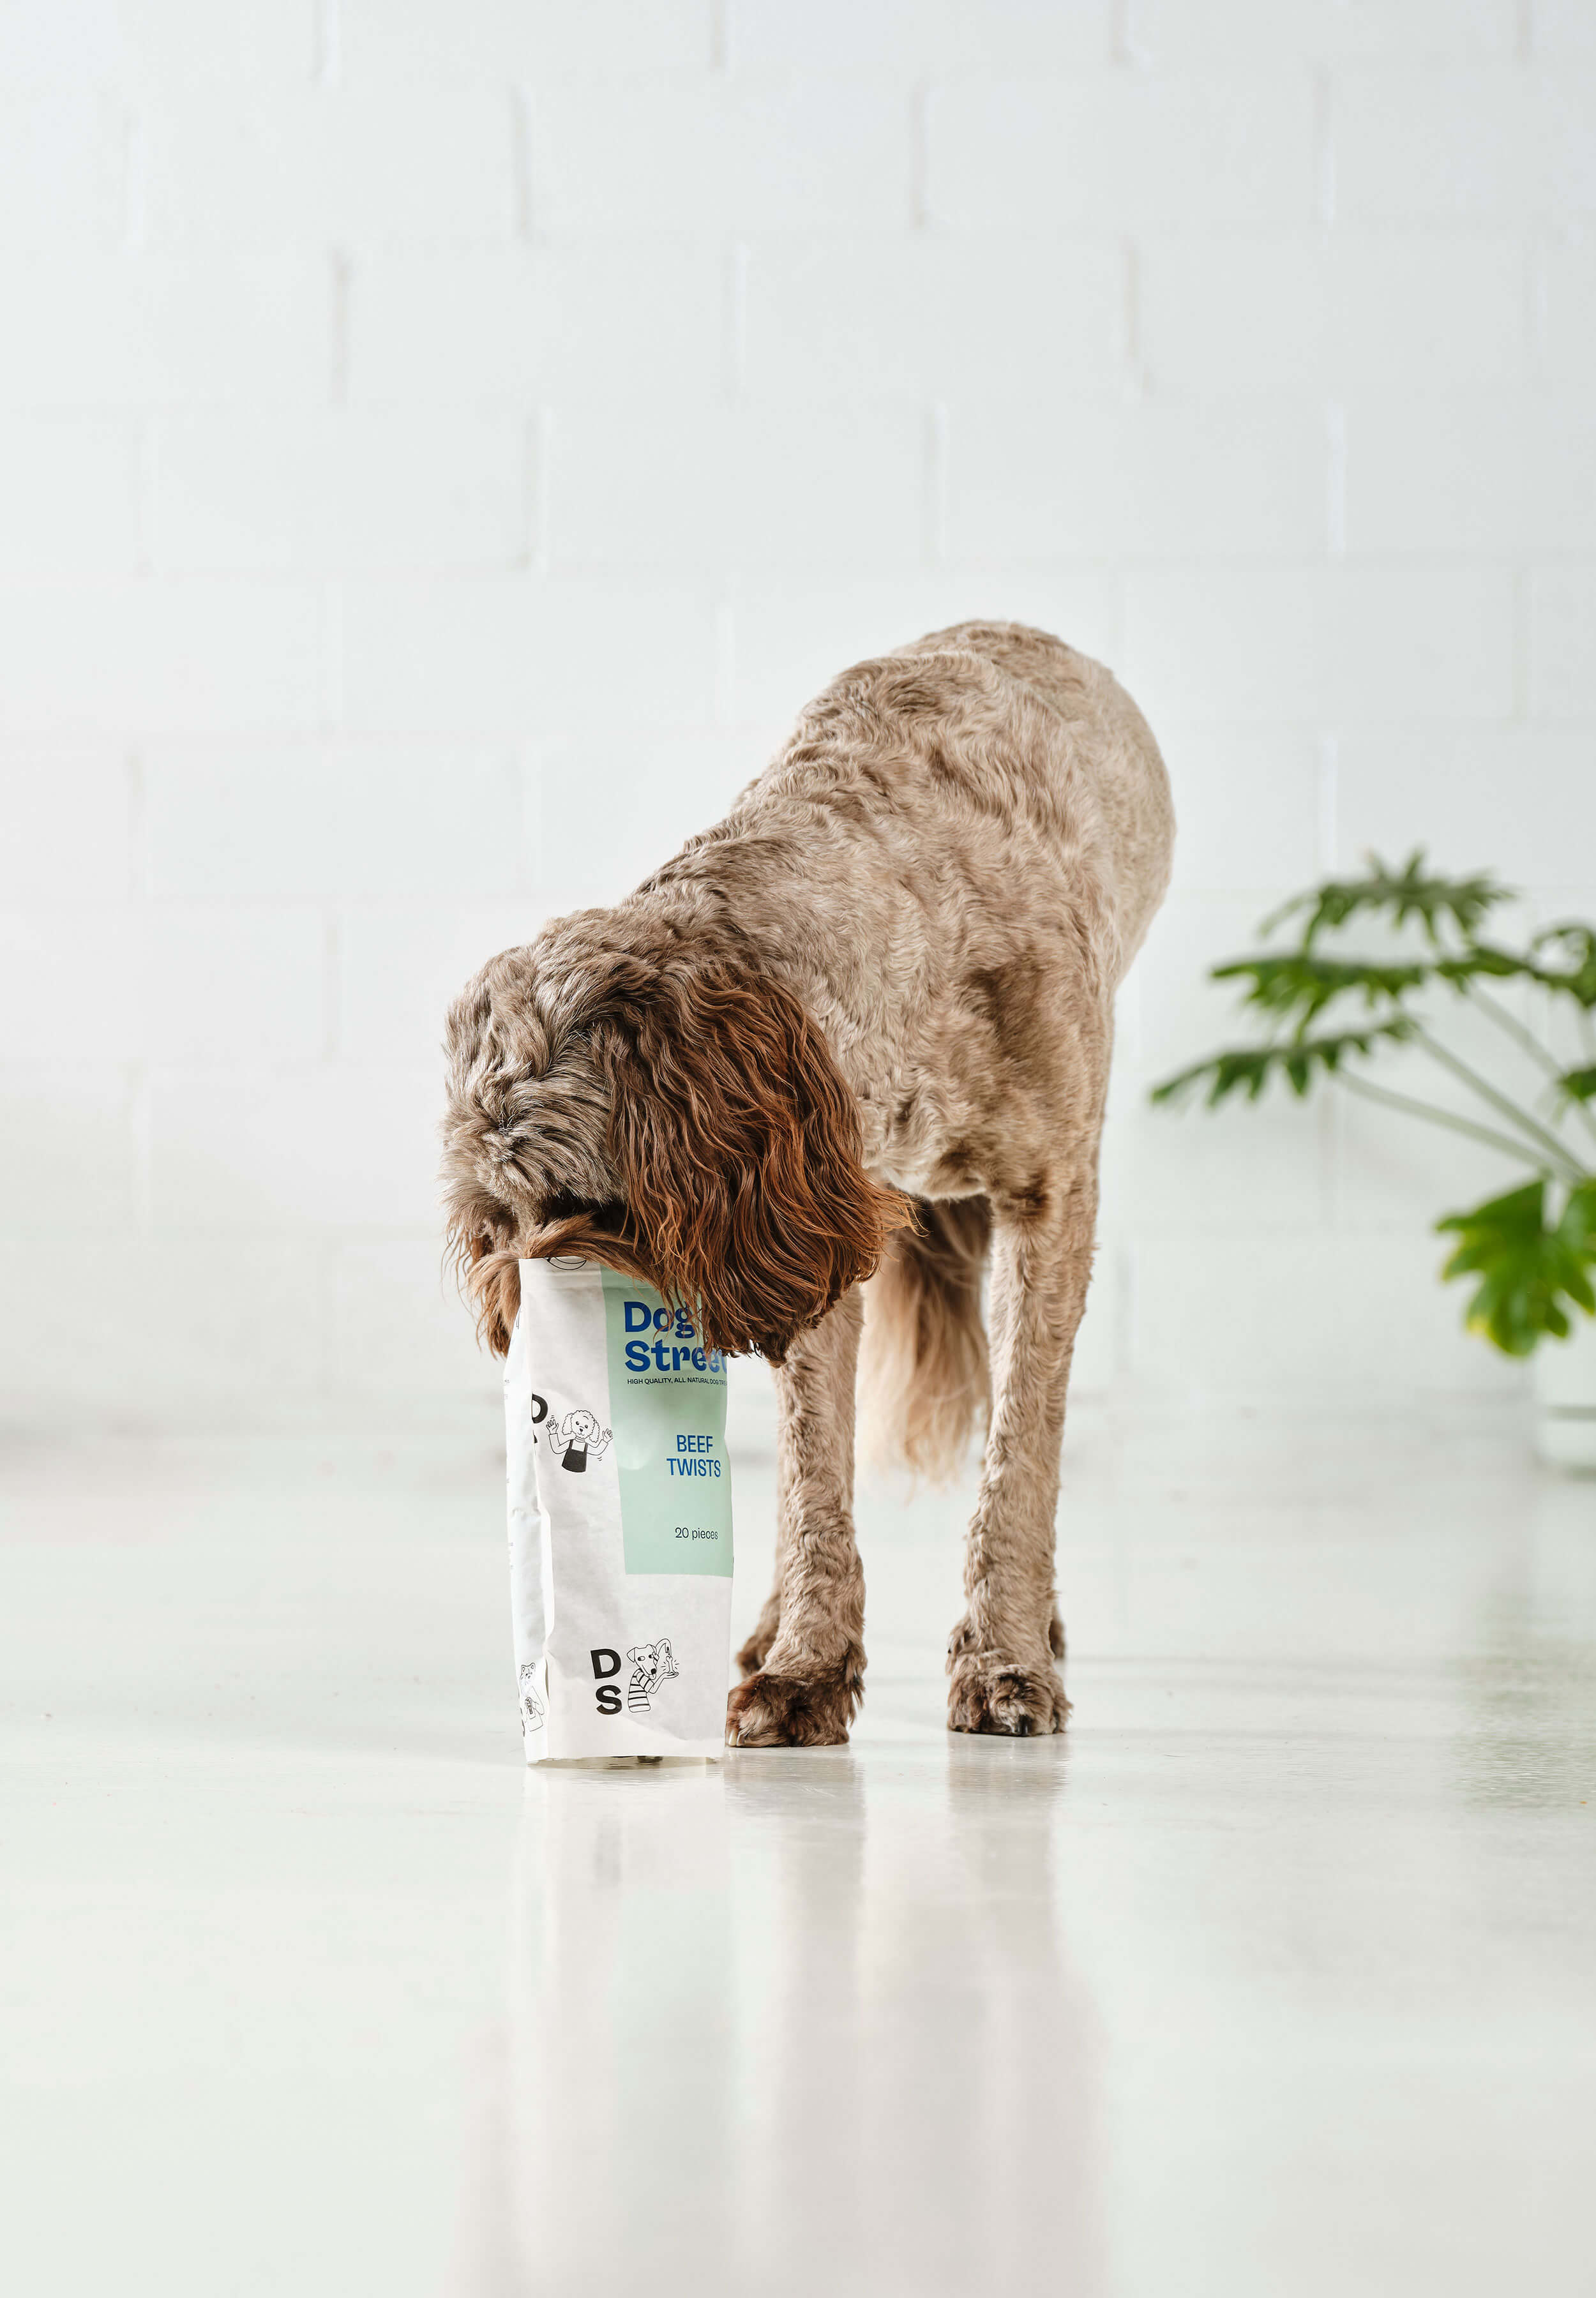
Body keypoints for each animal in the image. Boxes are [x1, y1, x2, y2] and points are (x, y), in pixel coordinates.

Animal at [444, 620, 1177, 1746]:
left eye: (586, 1207)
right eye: (495, 1222)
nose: (524, 1344)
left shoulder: (1047, 1204)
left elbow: (1021, 1455)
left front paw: (1006, 1655)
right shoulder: (826, 1236)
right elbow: (811, 1473)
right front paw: (807, 1666)